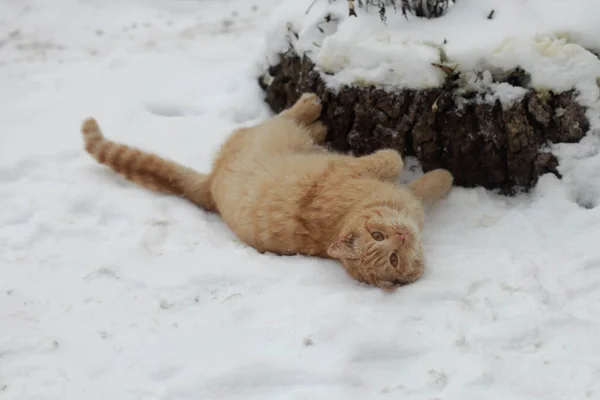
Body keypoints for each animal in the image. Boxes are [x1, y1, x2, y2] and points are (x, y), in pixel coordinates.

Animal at [82, 92, 452, 290]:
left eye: (391, 252)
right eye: (381, 242)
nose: (401, 236)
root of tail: (209, 185)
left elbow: (422, 187)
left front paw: (441, 180)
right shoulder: (347, 172)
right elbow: (392, 160)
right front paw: (445, 174)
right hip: (273, 134)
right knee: (283, 119)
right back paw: (312, 109)